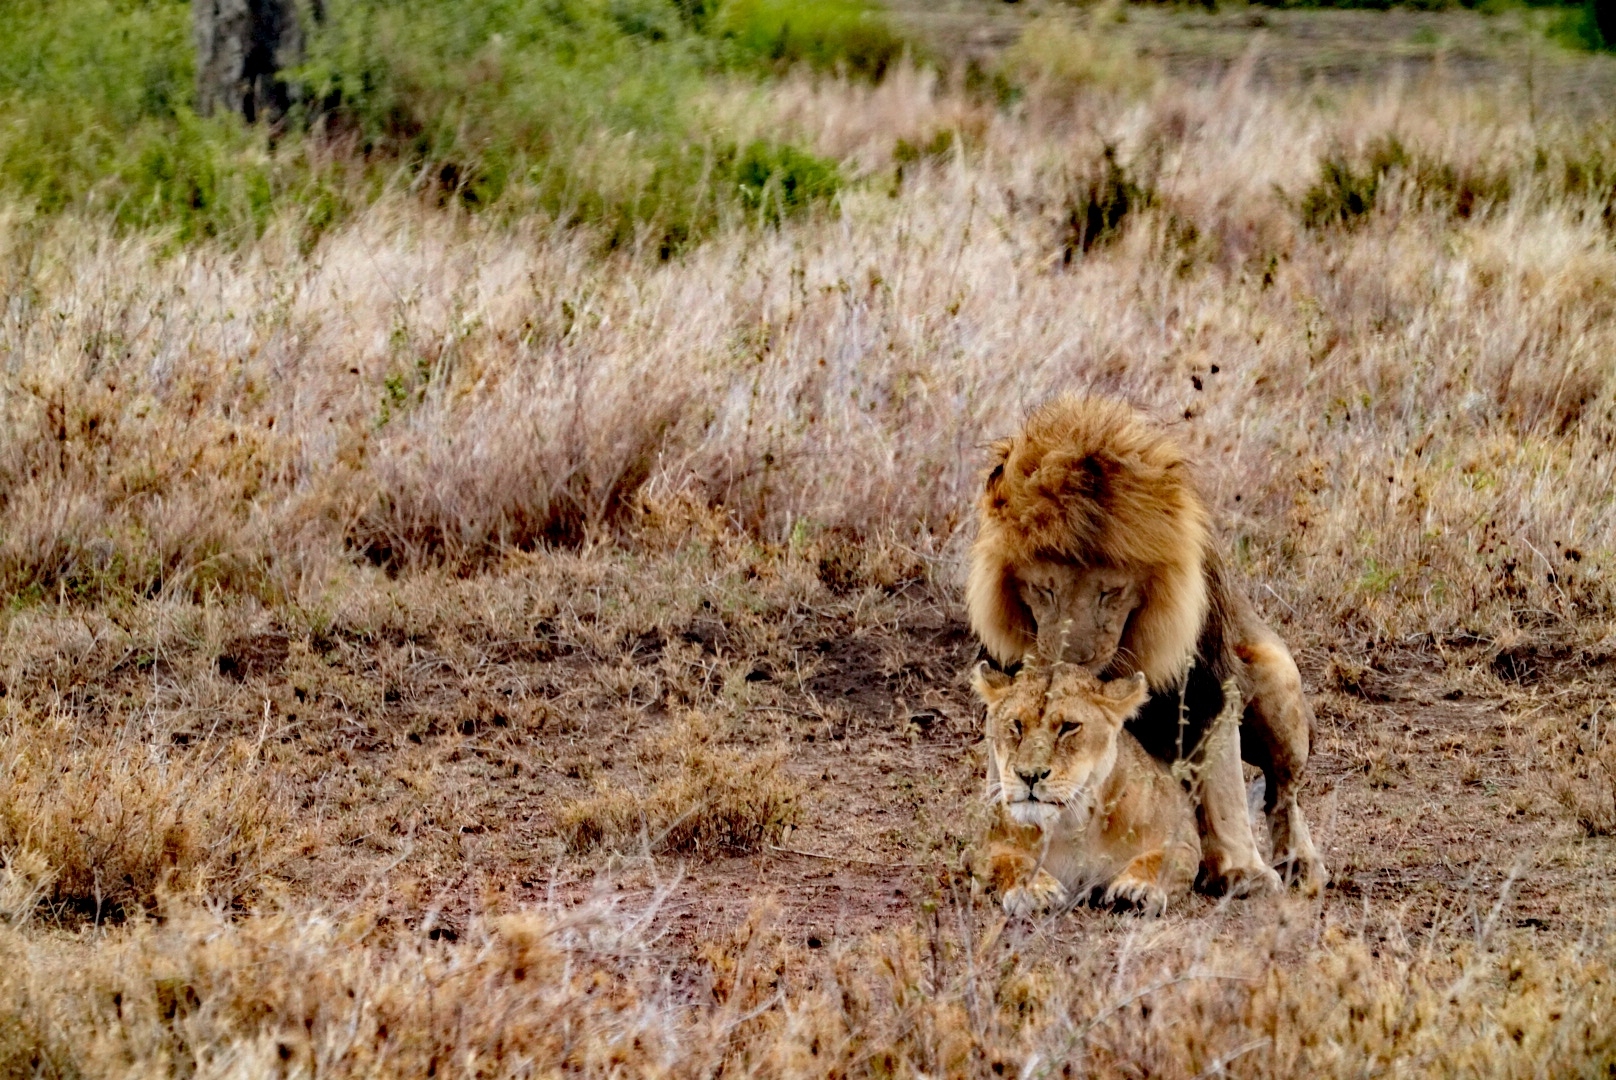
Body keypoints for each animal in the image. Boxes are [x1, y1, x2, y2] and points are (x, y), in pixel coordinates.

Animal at [963, 394, 1318, 892]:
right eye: (1045, 588)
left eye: (1111, 592)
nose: (1073, 661)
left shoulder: (1207, 679)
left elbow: (1226, 782)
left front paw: (1243, 869)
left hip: (1275, 679)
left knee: (1282, 795)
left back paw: (1297, 863)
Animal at [969, 659, 1202, 918]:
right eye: (1016, 725)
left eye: (1069, 727)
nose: (1029, 776)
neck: (1073, 822)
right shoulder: (983, 850)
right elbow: (1009, 862)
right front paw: (1035, 891)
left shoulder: (1184, 841)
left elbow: (1161, 860)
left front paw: (1136, 888)